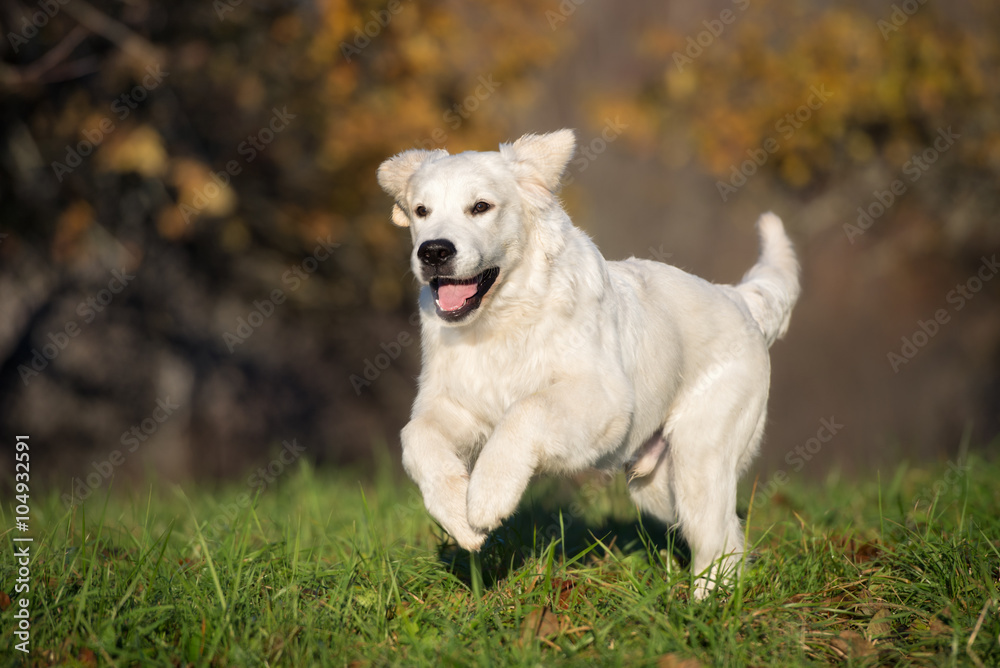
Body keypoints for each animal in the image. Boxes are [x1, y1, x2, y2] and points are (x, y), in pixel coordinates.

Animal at [378, 129, 800, 596]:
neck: (502, 320)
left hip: (701, 454)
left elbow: (526, 410)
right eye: (421, 211)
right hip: (657, 485)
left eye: (481, 207)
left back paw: (706, 605)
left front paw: (487, 497)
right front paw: (457, 514)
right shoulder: (456, 405)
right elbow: (415, 437)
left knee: (722, 540)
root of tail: (736, 297)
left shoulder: (604, 400)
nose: (433, 252)